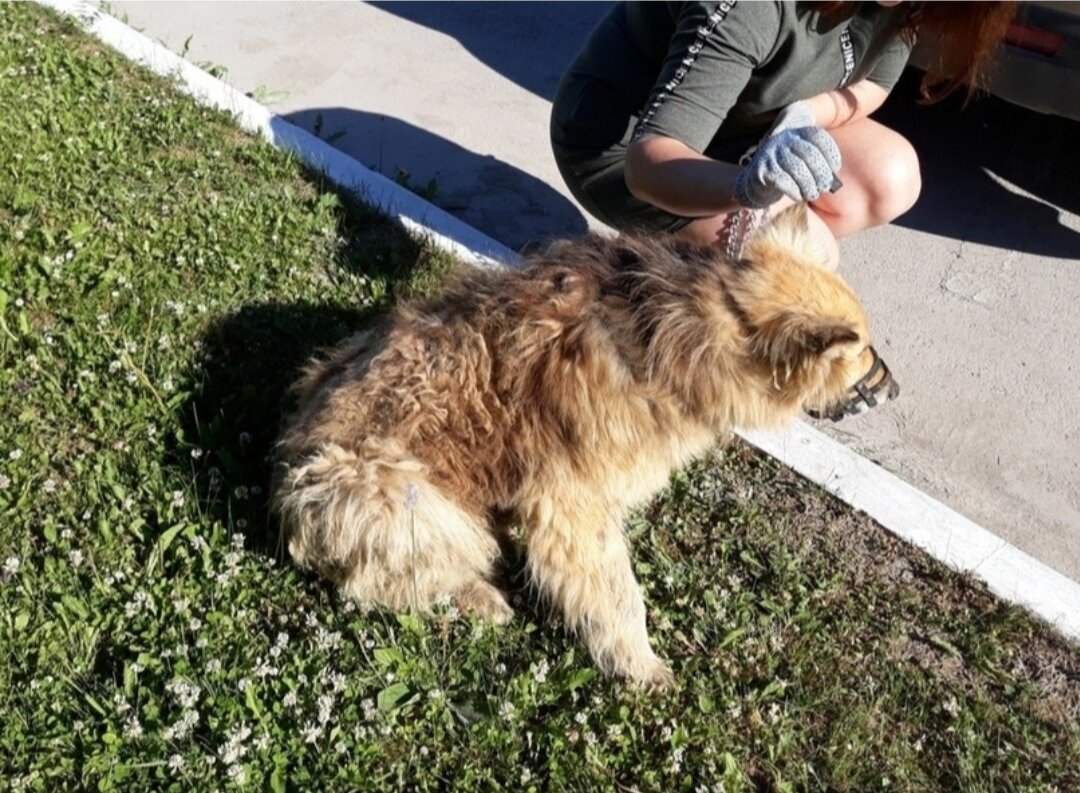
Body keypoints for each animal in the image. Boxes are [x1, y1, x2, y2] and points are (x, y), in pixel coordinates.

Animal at [274, 205, 898, 691]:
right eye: (862, 351)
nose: (894, 389)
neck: (687, 330)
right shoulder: (573, 509)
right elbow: (617, 594)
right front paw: (640, 666)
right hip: (389, 492)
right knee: (390, 577)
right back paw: (478, 596)